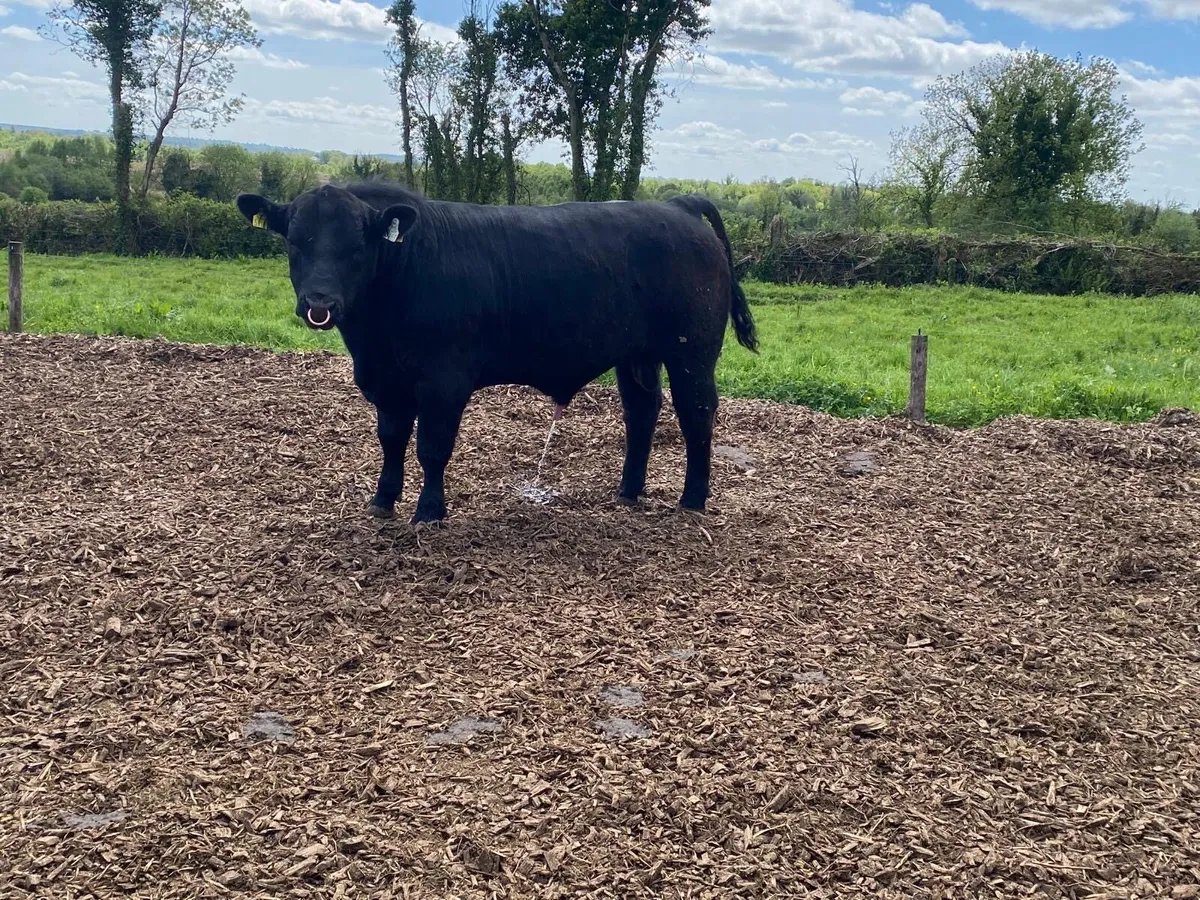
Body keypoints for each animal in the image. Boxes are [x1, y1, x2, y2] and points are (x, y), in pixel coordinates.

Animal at [235, 181, 758, 524]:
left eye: (356, 246)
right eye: (295, 241)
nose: (319, 303)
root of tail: (677, 204)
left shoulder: (443, 382)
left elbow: (432, 447)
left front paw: (428, 512)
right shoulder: (386, 381)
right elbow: (391, 440)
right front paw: (382, 501)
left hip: (692, 351)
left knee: (696, 413)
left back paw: (692, 501)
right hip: (637, 355)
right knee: (642, 413)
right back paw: (628, 492)